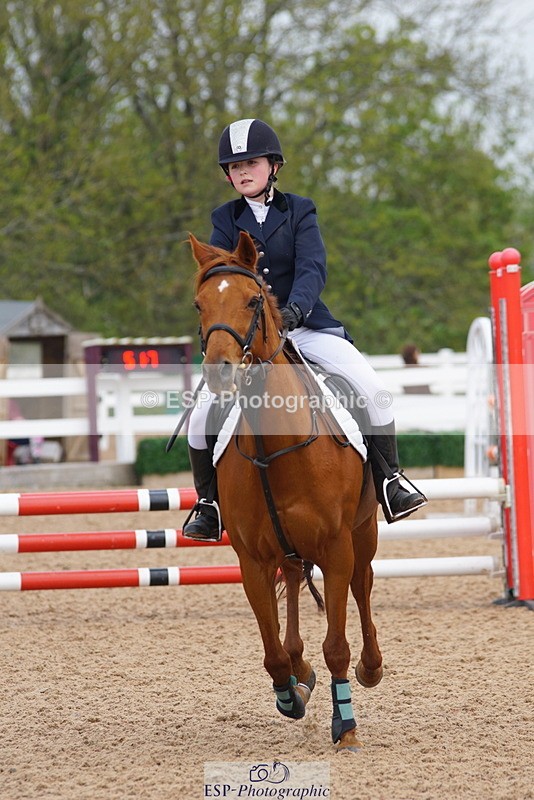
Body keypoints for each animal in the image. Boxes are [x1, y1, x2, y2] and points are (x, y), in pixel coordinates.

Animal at [189, 230, 383, 751]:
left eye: (254, 300)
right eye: (199, 305)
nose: (218, 372)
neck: (276, 446)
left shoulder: (337, 548)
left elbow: (336, 644)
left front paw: (345, 725)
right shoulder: (252, 560)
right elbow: (272, 652)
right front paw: (290, 693)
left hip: (363, 533)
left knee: (362, 587)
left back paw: (371, 667)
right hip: (289, 547)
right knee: (295, 584)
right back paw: (301, 669)